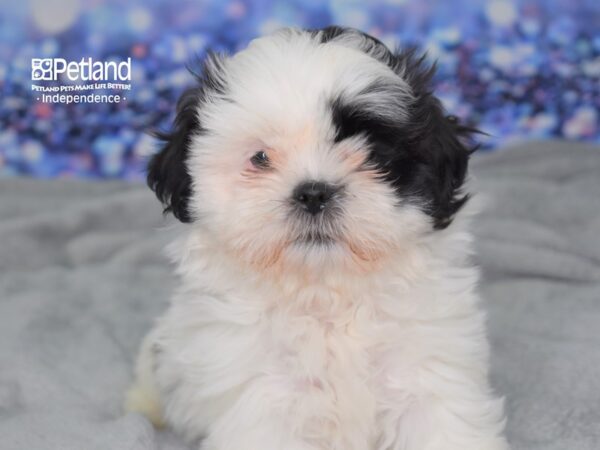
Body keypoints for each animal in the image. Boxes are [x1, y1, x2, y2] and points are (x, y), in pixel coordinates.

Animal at [124, 27, 508, 450]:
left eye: (373, 156)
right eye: (260, 158)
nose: (313, 193)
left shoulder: (428, 370)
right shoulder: (263, 397)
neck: (325, 295)